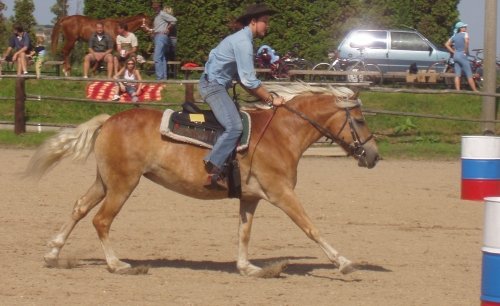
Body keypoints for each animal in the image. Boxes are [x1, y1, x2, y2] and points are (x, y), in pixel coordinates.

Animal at [25, 83, 378, 278]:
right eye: (360, 120)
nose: (373, 155)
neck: (280, 134)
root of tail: (110, 119)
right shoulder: (281, 193)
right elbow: (310, 227)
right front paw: (343, 262)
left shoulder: (250, 197)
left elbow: (244, 232)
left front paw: (247, 267)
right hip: (123, 184)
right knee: (101, 220)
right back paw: (117, 264)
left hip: (105, 181)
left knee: (79, 208)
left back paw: (52, 254)